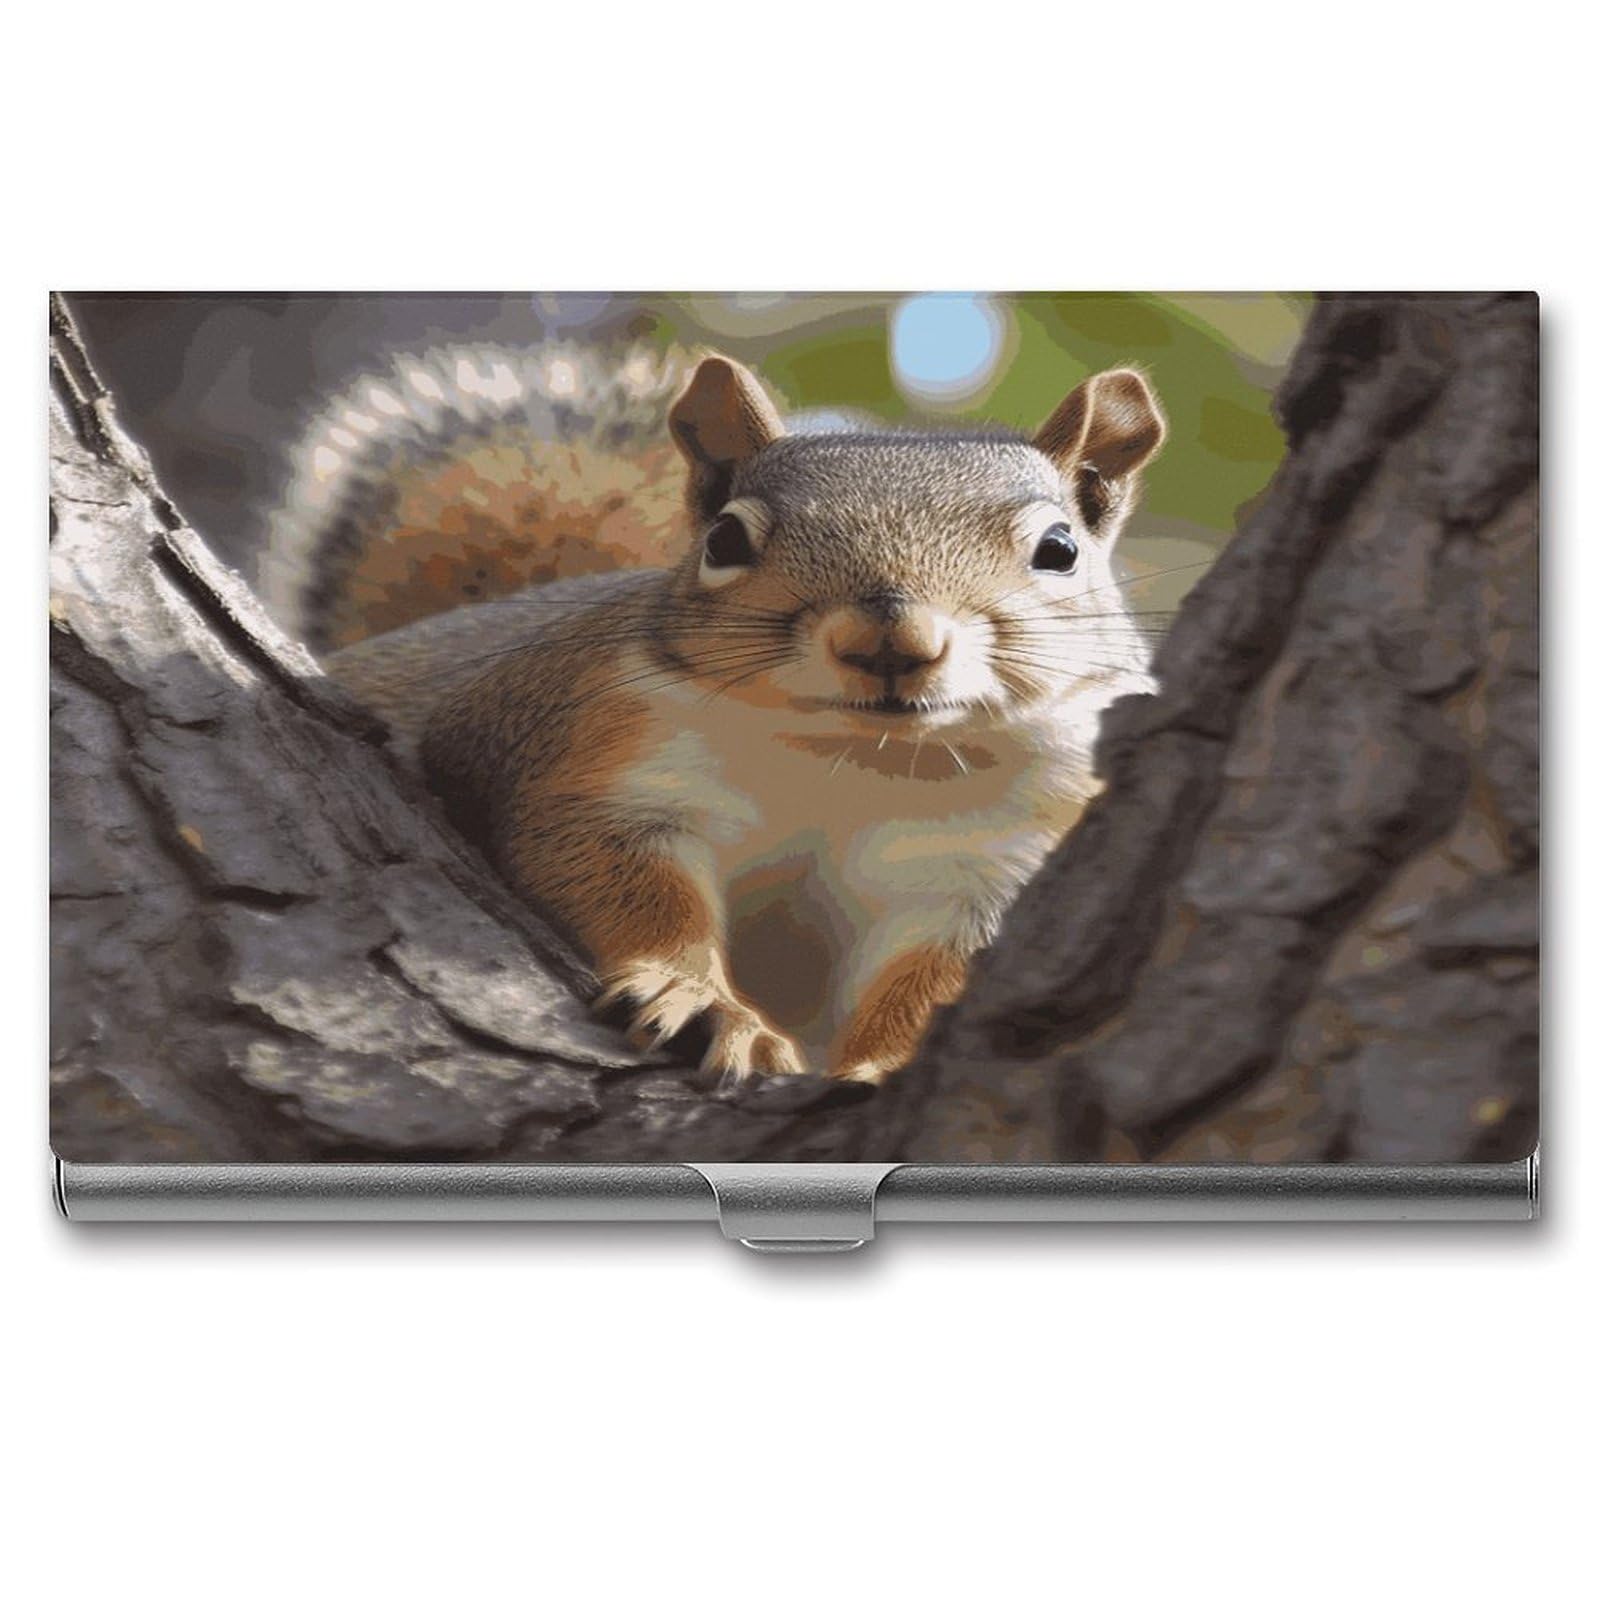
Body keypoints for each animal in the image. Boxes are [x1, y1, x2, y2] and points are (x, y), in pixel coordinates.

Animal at [264, 342, 1167, 1084]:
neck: (854, 758)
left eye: (1060, 550)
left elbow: (937, 976)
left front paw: (885, 1065)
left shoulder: (995, 856)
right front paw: (701, 1001)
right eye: (726, 540)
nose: (891, 639)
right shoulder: (601, 757)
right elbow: (623, 881)